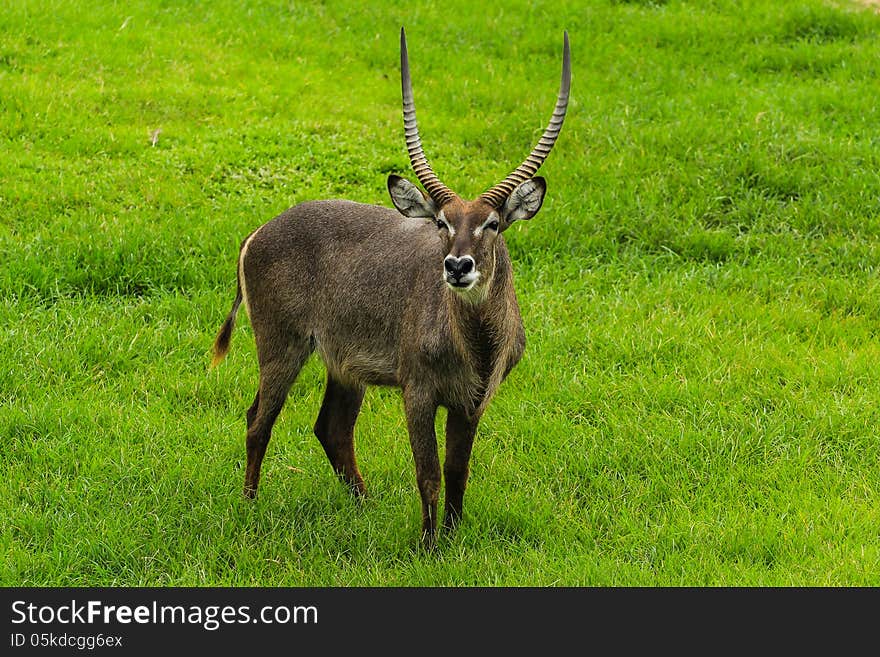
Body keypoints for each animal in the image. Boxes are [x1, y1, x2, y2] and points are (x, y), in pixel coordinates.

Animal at [211, 28, 572, 544]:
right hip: (282, 345)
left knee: (332, 428)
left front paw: (453, 538)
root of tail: (257, 232)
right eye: (441, 222)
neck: (476, 345)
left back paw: (365, 507)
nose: (457, 266)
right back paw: (250, 505)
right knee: (258, 420)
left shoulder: (473, 402)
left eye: (493, 224)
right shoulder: (417, 391)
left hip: (343, 363)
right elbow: (429, 473)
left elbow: (458, 470)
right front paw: (428, 546)